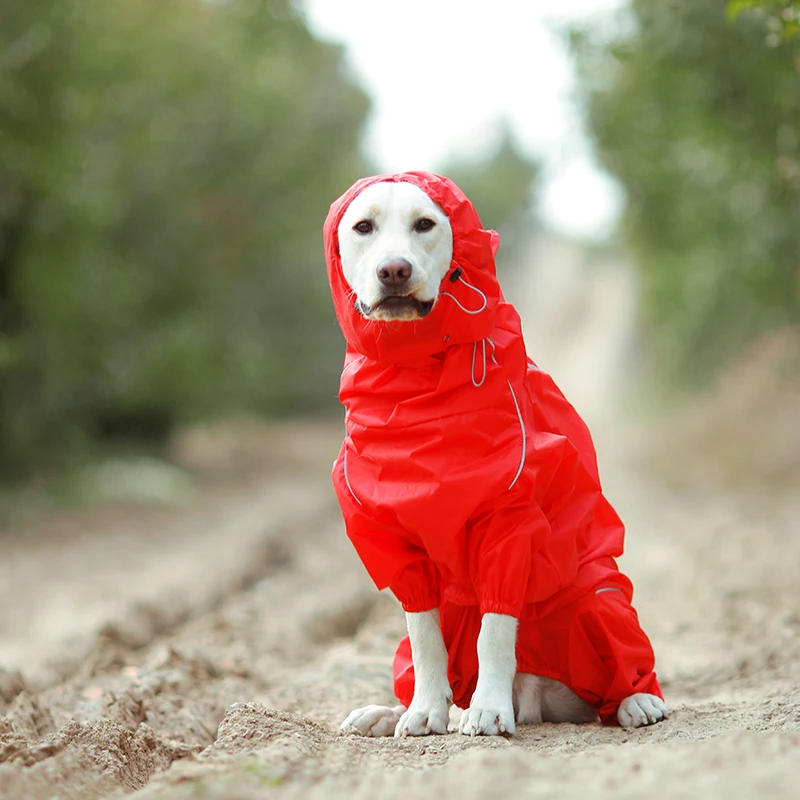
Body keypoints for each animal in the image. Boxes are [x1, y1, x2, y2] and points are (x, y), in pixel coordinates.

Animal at [324, 173, 668, 736]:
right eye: (363, 227)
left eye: (426, 224)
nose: (394, 270)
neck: (414, 382)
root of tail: (536, 700)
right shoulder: (395, 546)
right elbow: (424, 638)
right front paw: (424, 712)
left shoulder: (507, 522)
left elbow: (496, 629)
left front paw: (488, 709)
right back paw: (388, 711)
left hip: (599, 601)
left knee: (611, 674)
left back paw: (634, 700)